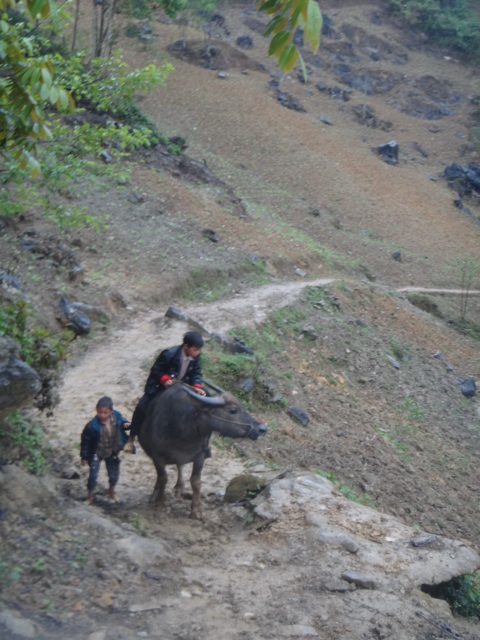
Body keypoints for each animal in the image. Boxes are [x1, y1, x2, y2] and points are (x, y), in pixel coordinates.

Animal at [138, 382, 266, 516]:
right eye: (233, 410)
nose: (262, 429)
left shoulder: (200, 456)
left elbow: (196, 482)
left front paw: (196, 510)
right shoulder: (157, 457)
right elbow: (163, 478)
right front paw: (161, 501)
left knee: (180, 466)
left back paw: (179, 488)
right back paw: (154, 495)